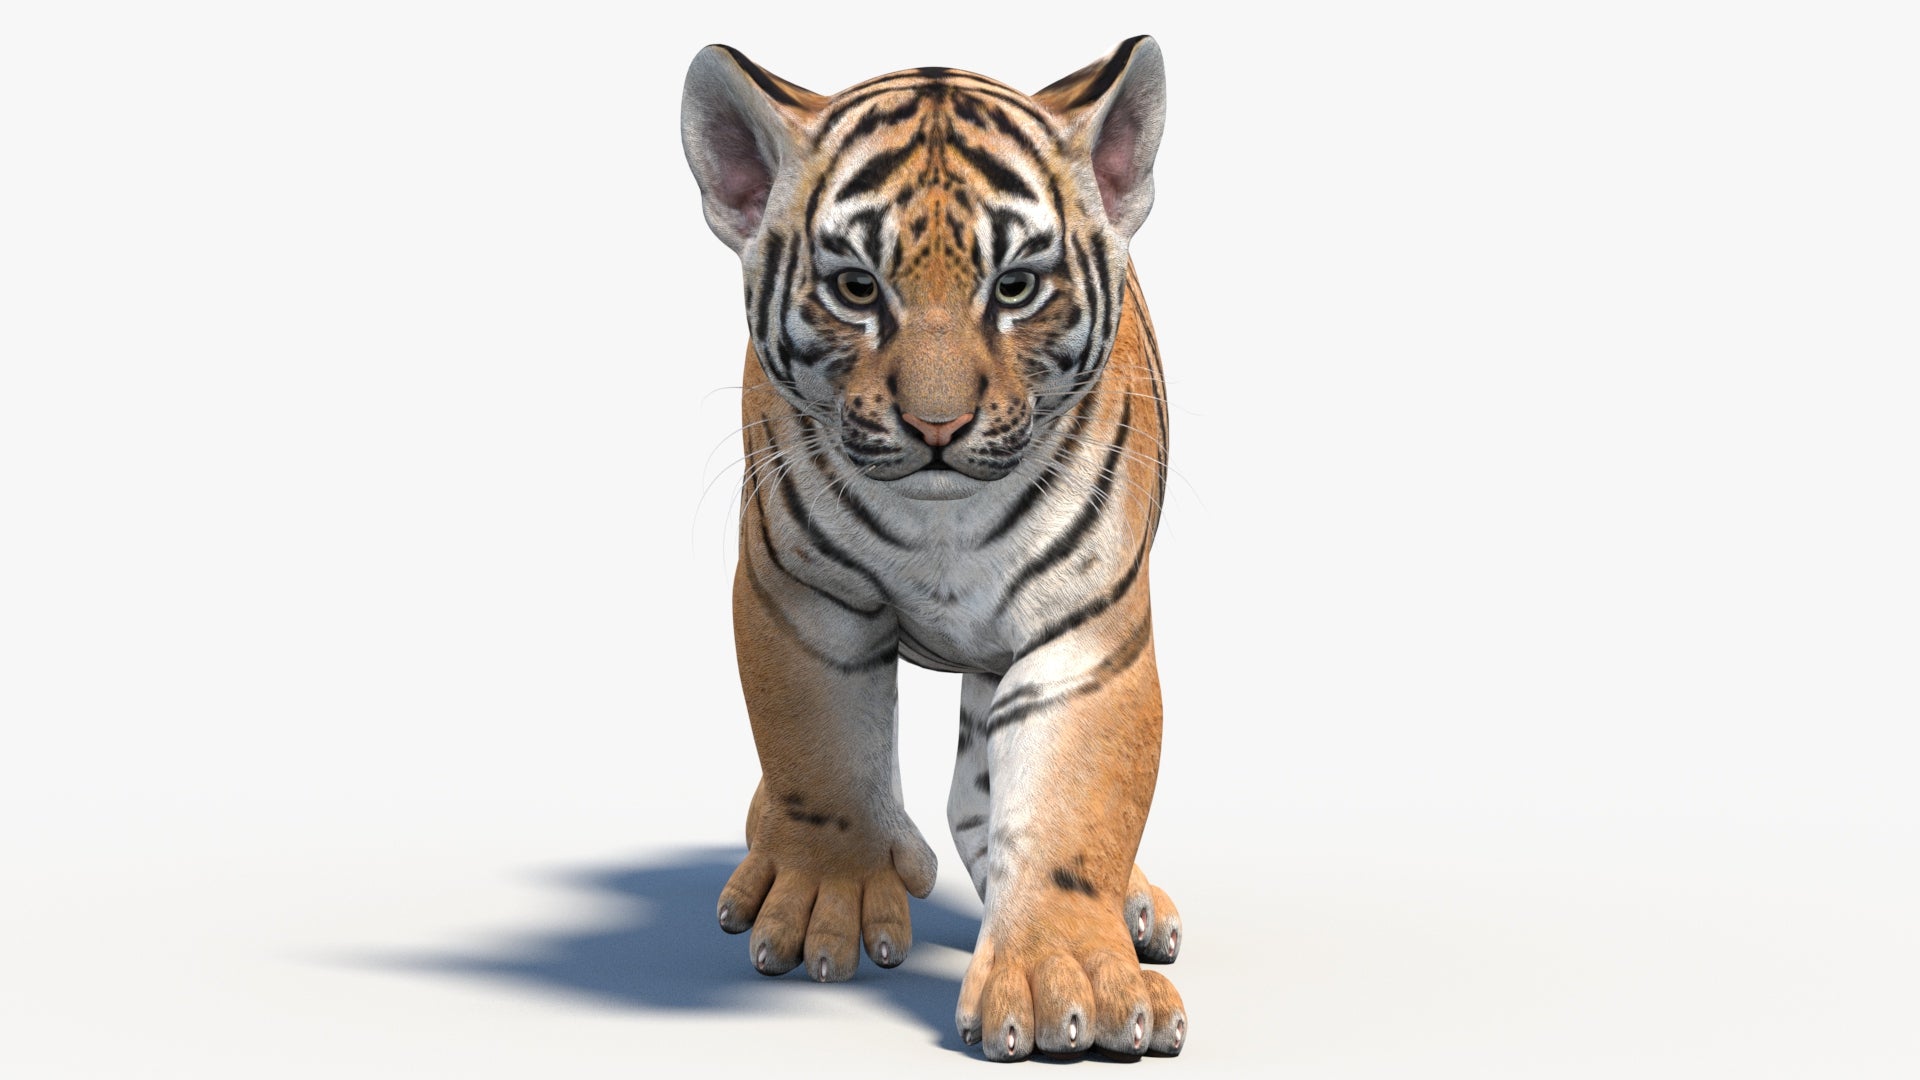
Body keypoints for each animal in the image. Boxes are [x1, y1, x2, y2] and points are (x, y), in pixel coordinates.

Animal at [679, 36, 1185, 1060]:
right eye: (856, 289)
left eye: (1016, 286)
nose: (938, 426)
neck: (942, 523)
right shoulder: (803, 600)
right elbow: (820, 753)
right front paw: (823, 901)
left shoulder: (1085, 635)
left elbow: (1073, 808)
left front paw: (1068, 984)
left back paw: (1133, 906)